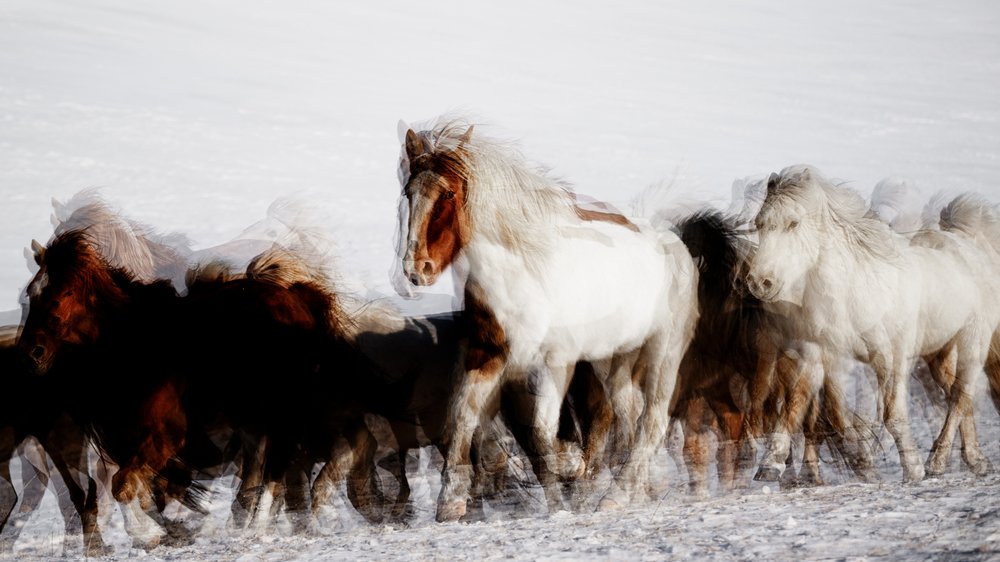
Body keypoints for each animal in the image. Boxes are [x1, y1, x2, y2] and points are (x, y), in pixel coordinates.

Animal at [396, 117, 698, 520]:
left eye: (447, 194)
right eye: (408, 193)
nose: (418, 270)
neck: (521, 273)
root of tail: (671, 244)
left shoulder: (557, 360)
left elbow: (540, 430)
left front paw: (570, 465)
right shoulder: (488, 354)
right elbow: (462, 417)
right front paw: (450, 503)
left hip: (663, 351)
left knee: (652, 420)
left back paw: (617, 494)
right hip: (612, 359)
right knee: (630, 413)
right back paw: (643, 487)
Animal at [745, 165, 1000, 481]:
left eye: (793, 223)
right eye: (759, 224)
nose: (760, 282)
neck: (857, 291)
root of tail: (972, 247)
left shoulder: (891, 357)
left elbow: (892, 414)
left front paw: (912, 469)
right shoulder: (820, 354)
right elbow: (800, 405)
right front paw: (771, 464)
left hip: (973, 340)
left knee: (959, 396)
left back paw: (938, 462)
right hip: (939, 354)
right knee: (959, 396)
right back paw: (976, 460)